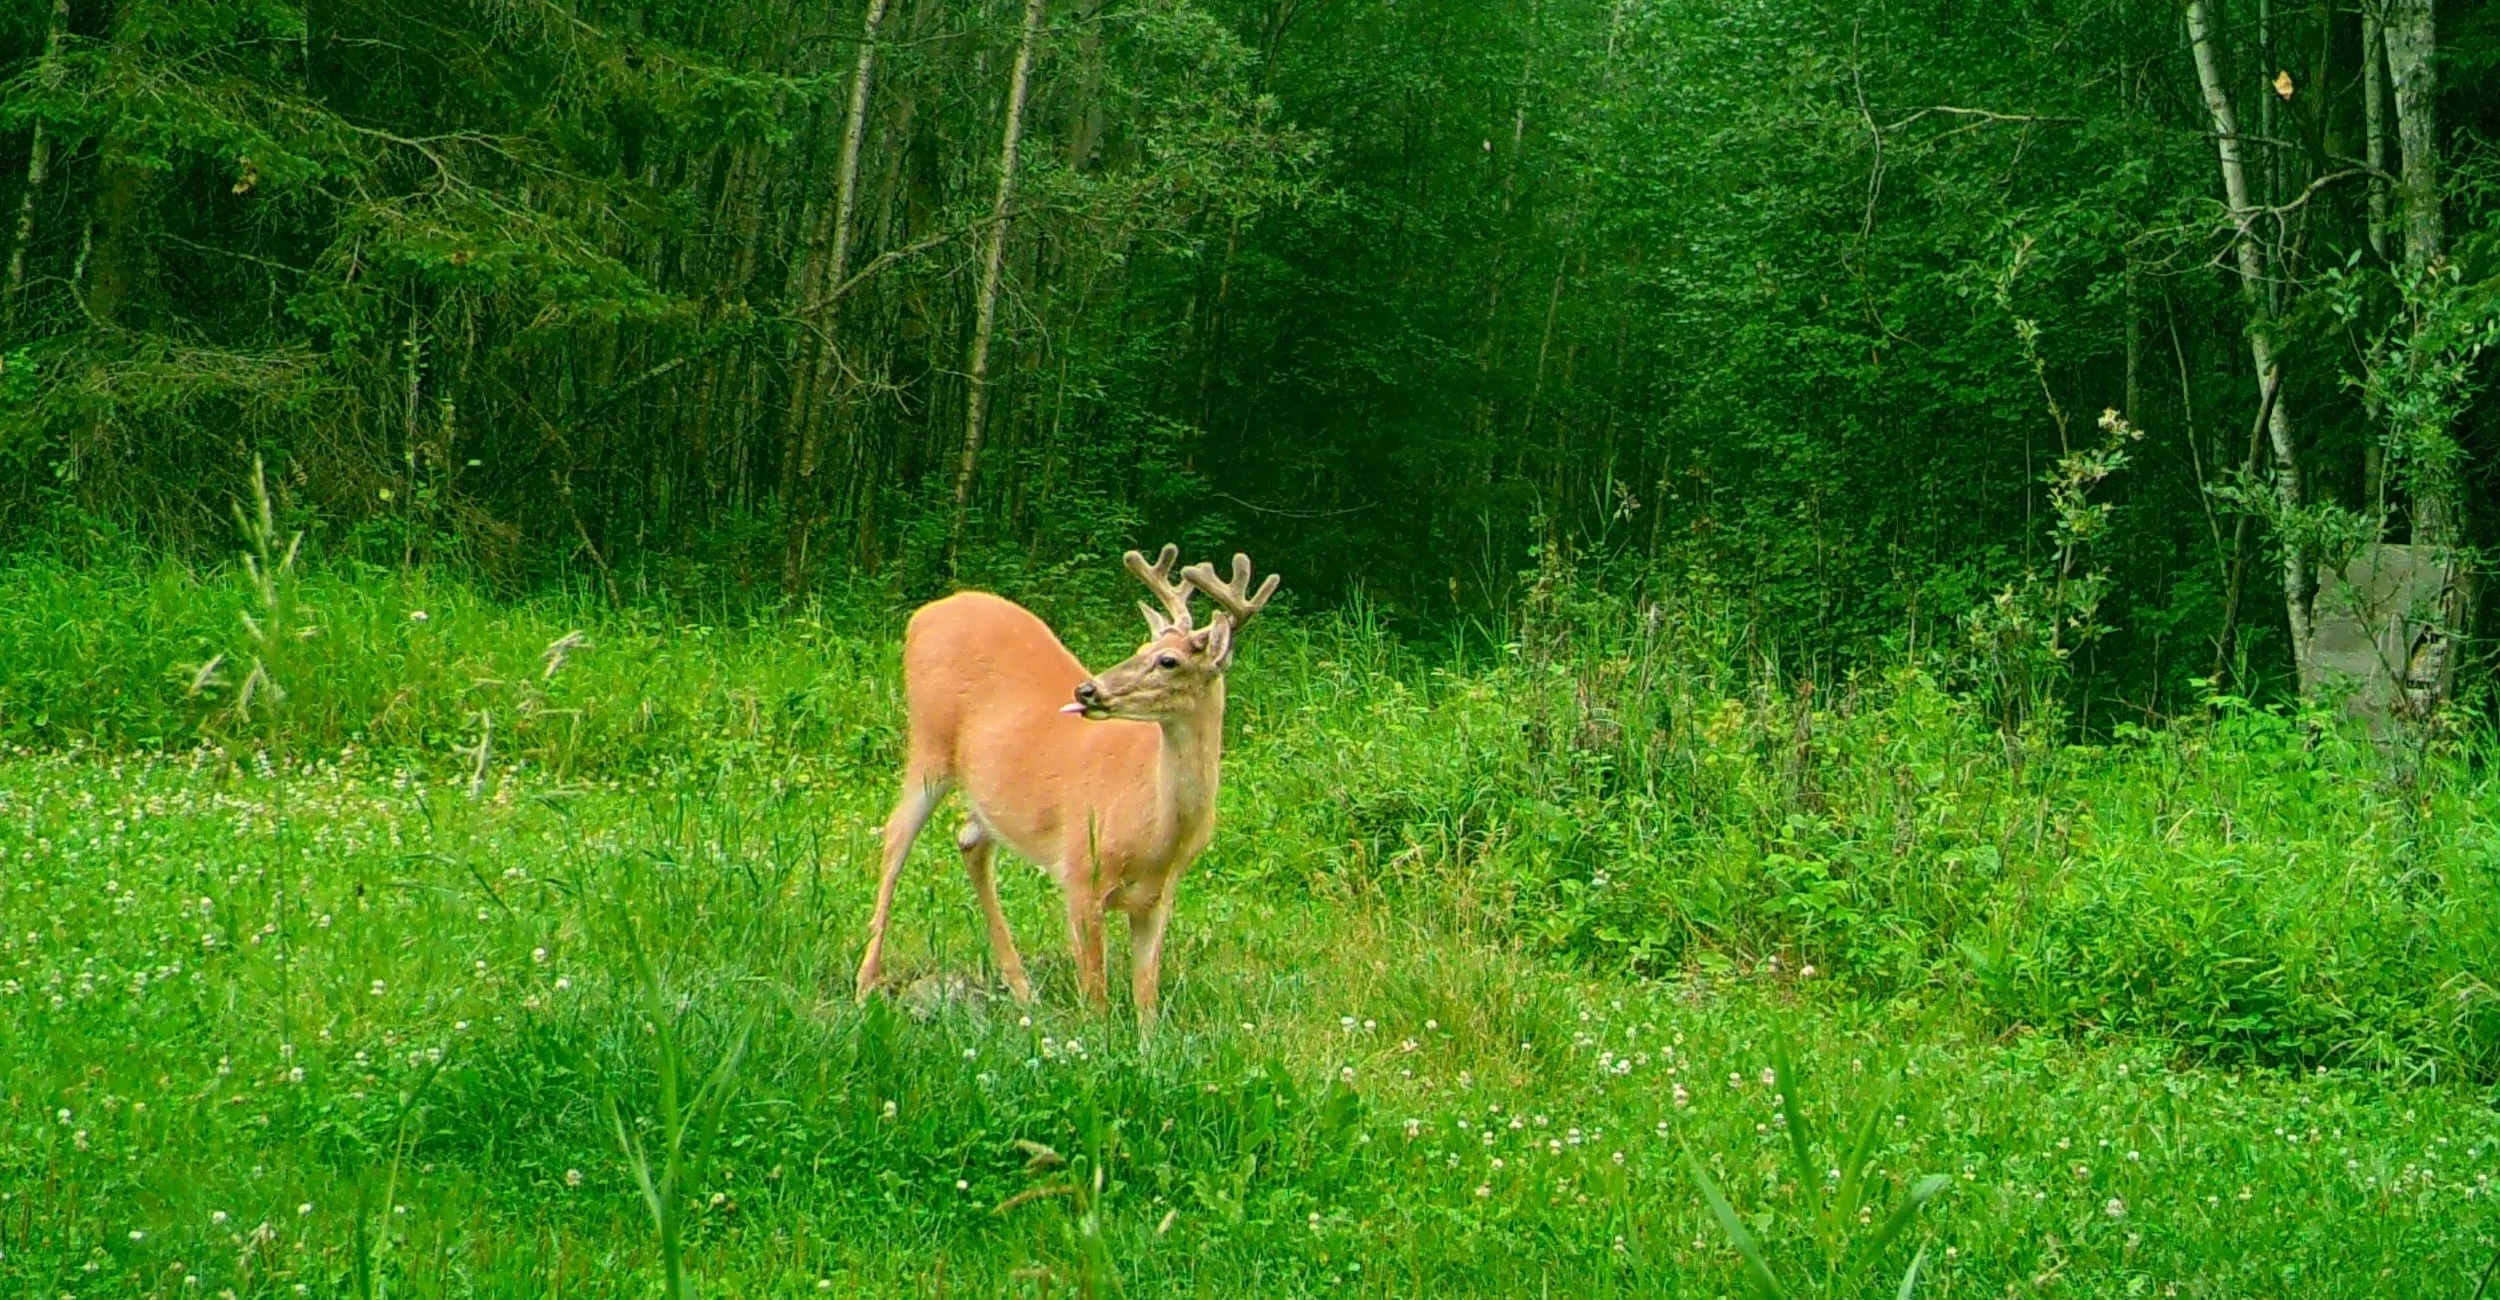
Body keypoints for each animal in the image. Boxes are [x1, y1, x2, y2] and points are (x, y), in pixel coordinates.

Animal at [853, 545, 1279, 1036]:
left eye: (1167, 660)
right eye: (1142, 648)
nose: (1087, 690)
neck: (1155, 832)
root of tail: (922, 615)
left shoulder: (1158, 898)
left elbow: (1146, 1003)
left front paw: (1147, 1047)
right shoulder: (1080, 870)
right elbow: (1096, 996)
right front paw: (1097, 1044)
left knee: (970, 842)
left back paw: (1022, 989)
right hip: (929, 743)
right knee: (895, 838)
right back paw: (865, 985)